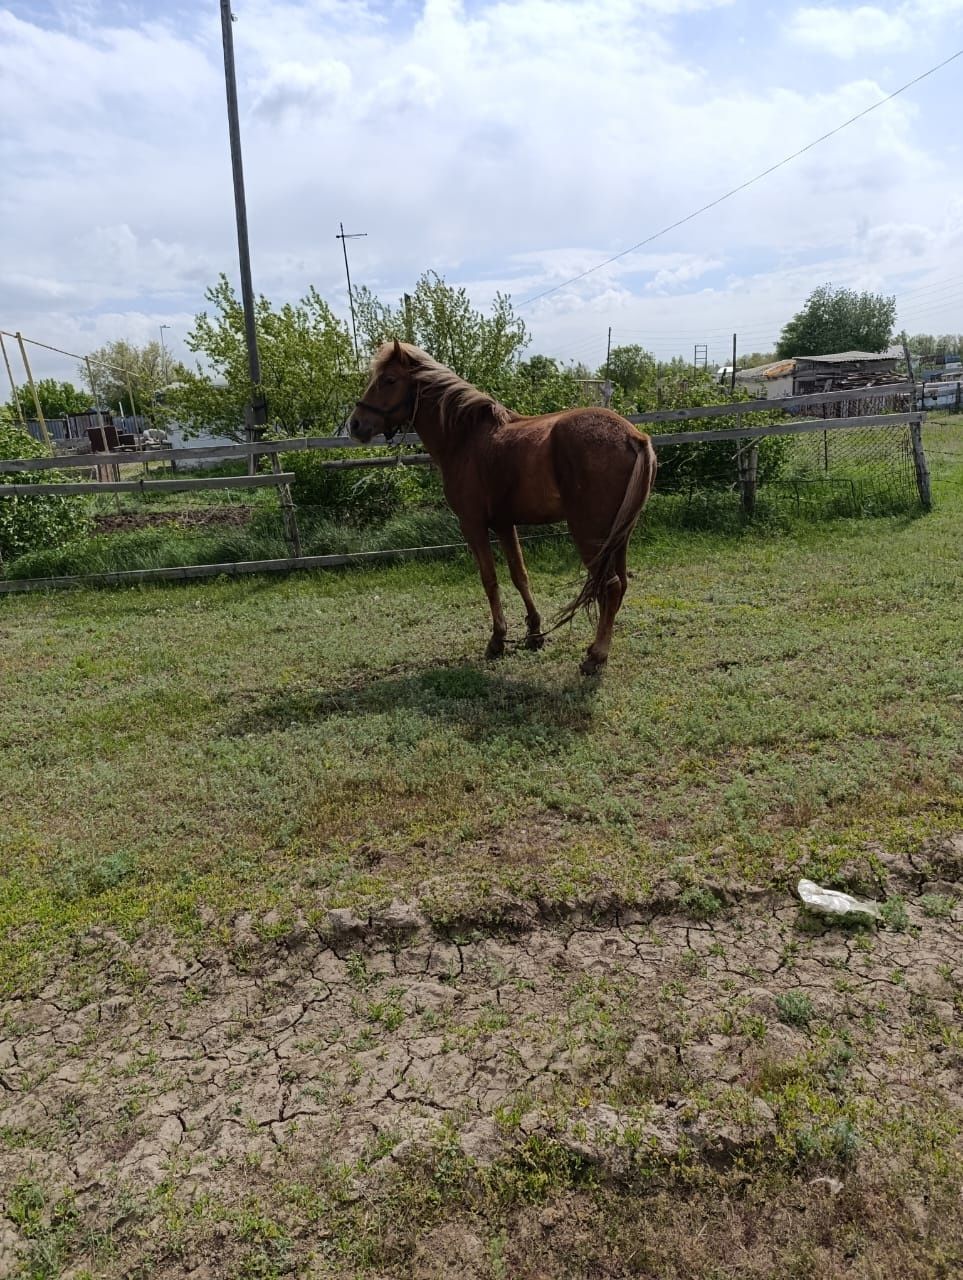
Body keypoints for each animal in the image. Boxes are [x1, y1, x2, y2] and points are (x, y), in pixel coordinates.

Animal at [350, 340, 660, 680]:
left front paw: (497, 640)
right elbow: (519, 575)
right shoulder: (503, 523)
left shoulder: (472, 525)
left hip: (590, 534)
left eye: (389, 380)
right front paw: (534, 633)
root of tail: (634, 436)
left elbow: (490, 580)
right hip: (618, 537)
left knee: (611, 587)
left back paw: (596, 656)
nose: (355, 424)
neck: (465, 438)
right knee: (620, 585)